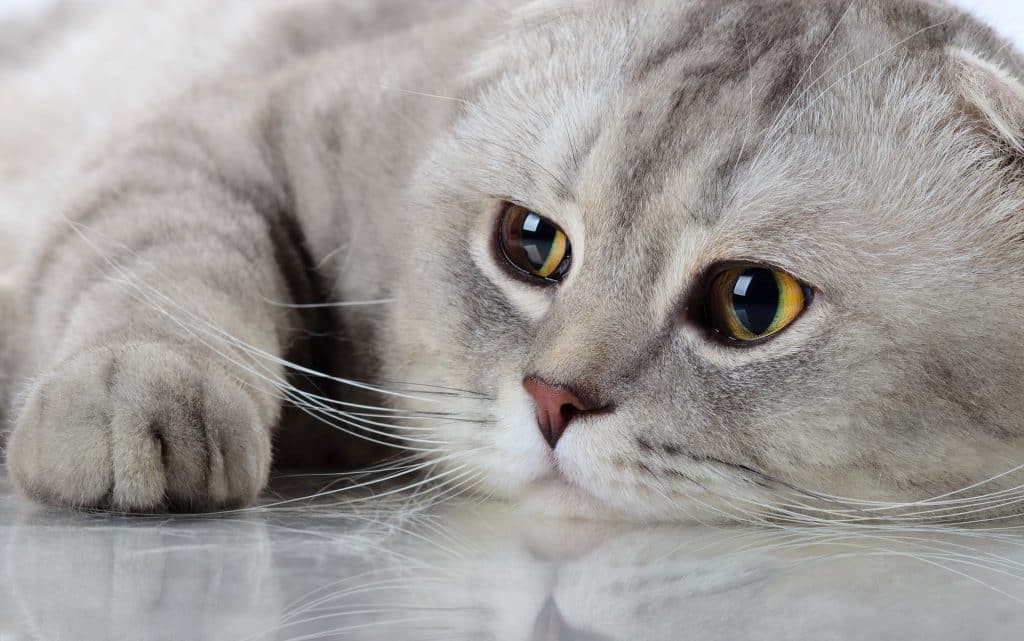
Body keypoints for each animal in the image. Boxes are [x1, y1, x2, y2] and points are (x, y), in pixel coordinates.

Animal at [2, 0, 1024, 522]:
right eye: (532, 243)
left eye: (753, 301)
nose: (552, 400)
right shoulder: (219, 130)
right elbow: (166, 263)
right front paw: (135, 393)